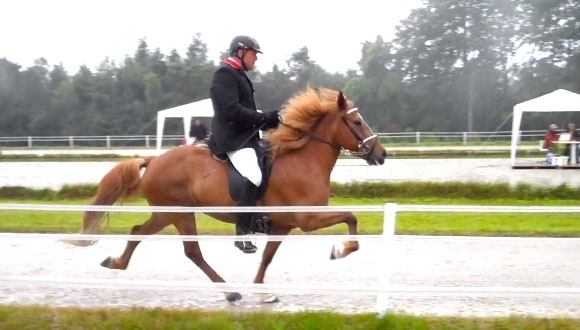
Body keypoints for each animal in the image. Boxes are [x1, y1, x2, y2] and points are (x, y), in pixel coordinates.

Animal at [79, 86, 388, 302]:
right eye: (357, 122)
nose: (382, 154)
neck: (304, 160)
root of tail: (153, 161)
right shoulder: (308, 220)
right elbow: (351, 217)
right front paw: (340, 250)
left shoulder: (284, 225)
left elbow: (267, 257)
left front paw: (263, 292)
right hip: (179, 213)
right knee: (192, 252)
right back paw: (229, 291)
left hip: (167, 214)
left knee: (137, 231)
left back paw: (116, 262)